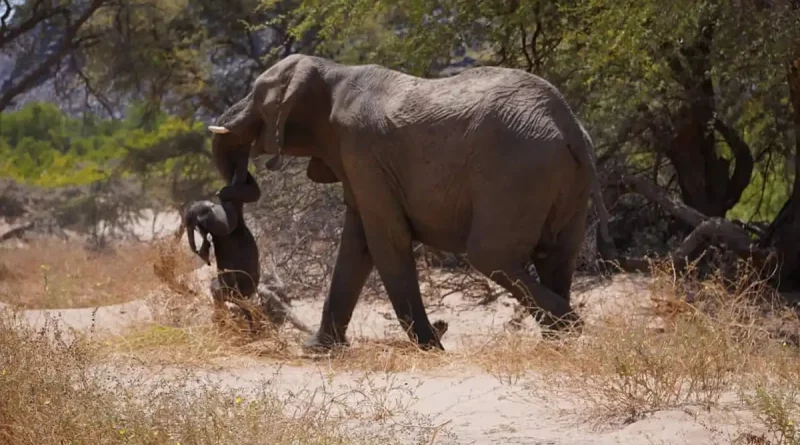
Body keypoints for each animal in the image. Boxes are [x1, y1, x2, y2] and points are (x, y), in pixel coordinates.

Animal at [206, 54, 612, 350]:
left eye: (257, 94)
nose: (224, 196)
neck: (331, 71)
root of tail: (568, 124)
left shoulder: (363, 151)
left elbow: (386, 241)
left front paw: (430, 348)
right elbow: (357, 245)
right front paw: (317, 351)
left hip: (519, 170)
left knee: (489, 255)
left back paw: (571, 327)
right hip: (564, 178)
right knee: (556, 255)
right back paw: (558, 342)